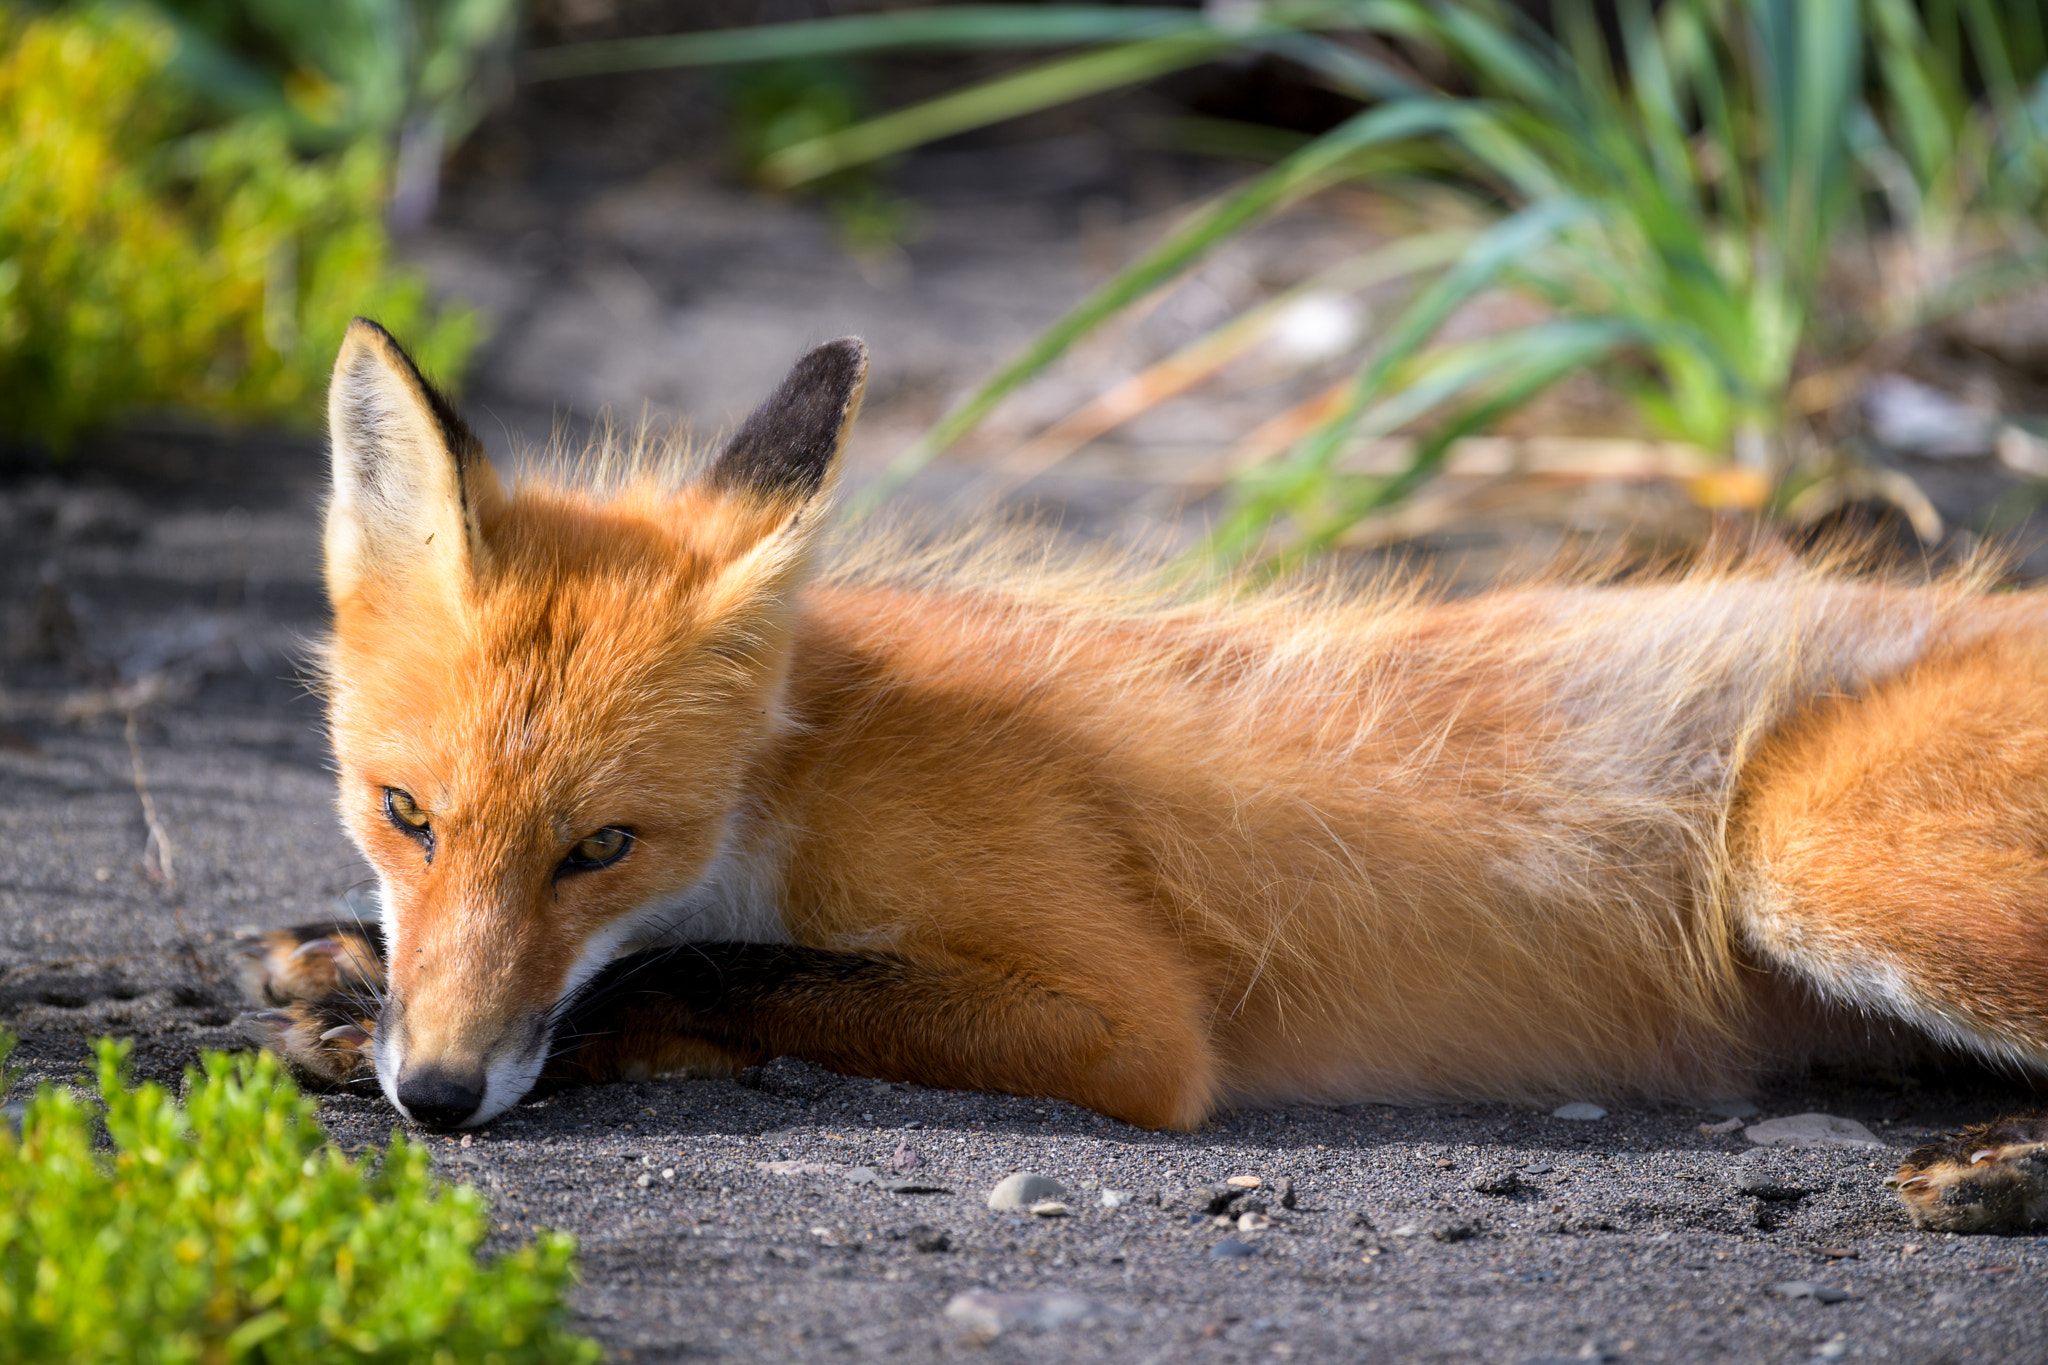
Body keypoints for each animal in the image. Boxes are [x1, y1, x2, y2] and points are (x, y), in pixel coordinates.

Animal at [239, 321, 2048, 1236]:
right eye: (405, 815)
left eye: (602, 845)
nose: (438, 1096)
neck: (802, 772)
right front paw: (344, 960)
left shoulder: (1120, 1018)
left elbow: (718, 970)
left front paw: (441, 1021)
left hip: (1812, 864)